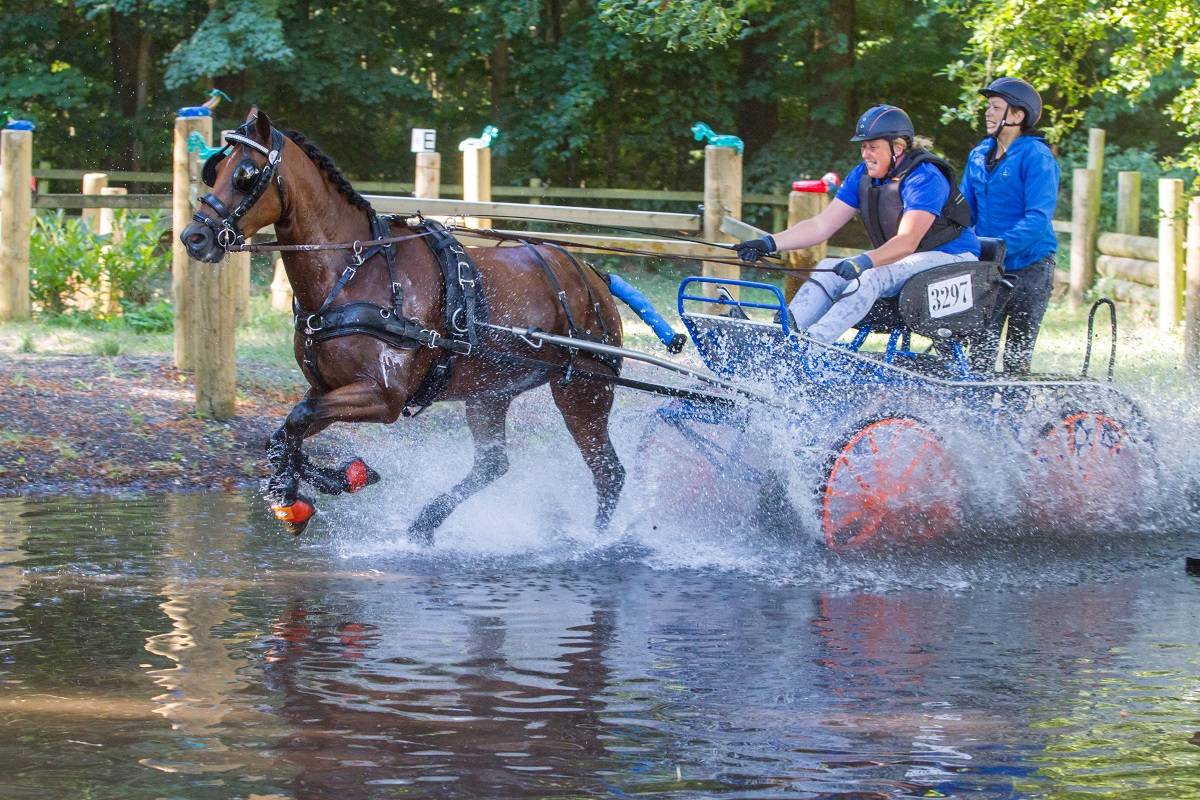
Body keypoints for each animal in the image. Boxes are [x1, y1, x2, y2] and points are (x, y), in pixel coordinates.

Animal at [182, 109, 628, 542]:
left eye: (245, 174)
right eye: (214, 170)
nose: (194, 236)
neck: (354, 273)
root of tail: (593, 277)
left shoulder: (385, 396)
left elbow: (296, 418)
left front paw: (298, 493)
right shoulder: (328, 388)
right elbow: (286, 432)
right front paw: (326, 483)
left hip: (583, 392)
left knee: (608, 471)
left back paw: (597, 543)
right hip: (490, 393)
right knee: (493, 465)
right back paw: (425, 523)